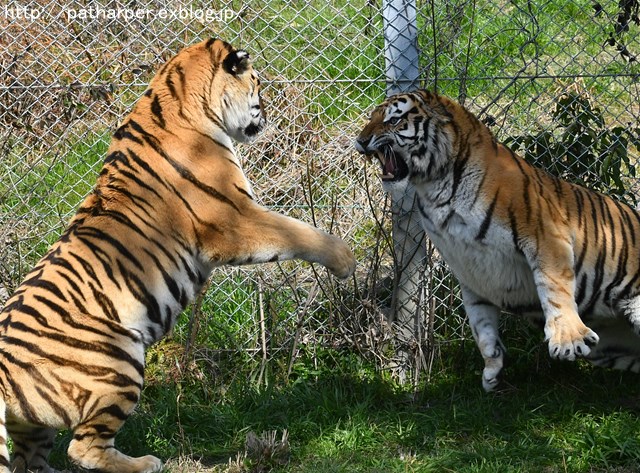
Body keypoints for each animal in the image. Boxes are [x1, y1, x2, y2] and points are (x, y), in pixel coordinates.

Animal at [0, 37, 356, 472]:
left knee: (29, 459)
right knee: (83, 449)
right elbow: (296, 230)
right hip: (119, 361)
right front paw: (345, 260)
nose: (268, 113)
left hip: (35, 424)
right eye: (257, 83)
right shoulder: (235, 220)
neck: (176, 97)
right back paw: (144, 463)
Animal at [356, 89, 640, 390]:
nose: (360, 141)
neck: (435, 187)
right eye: (372, 117)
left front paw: (568, 340)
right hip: (612, 349)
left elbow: (553, 286)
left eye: (393, 120)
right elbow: (480, 325)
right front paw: (492, 369)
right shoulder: (470, 271)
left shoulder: (545, 235)